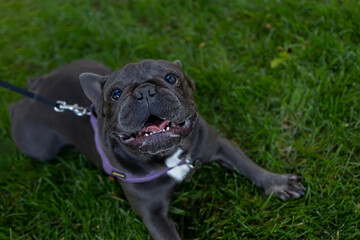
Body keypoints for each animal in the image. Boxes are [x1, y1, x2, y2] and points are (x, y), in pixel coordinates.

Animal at [9, 59, 304, 240]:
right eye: (116, 94)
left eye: (171, 78)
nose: (145, 92)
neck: (167, 156)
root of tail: (39, 87)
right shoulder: (153, 216)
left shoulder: (218, 144)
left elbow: (249, 166)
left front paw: (277, 182)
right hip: (38, 146)